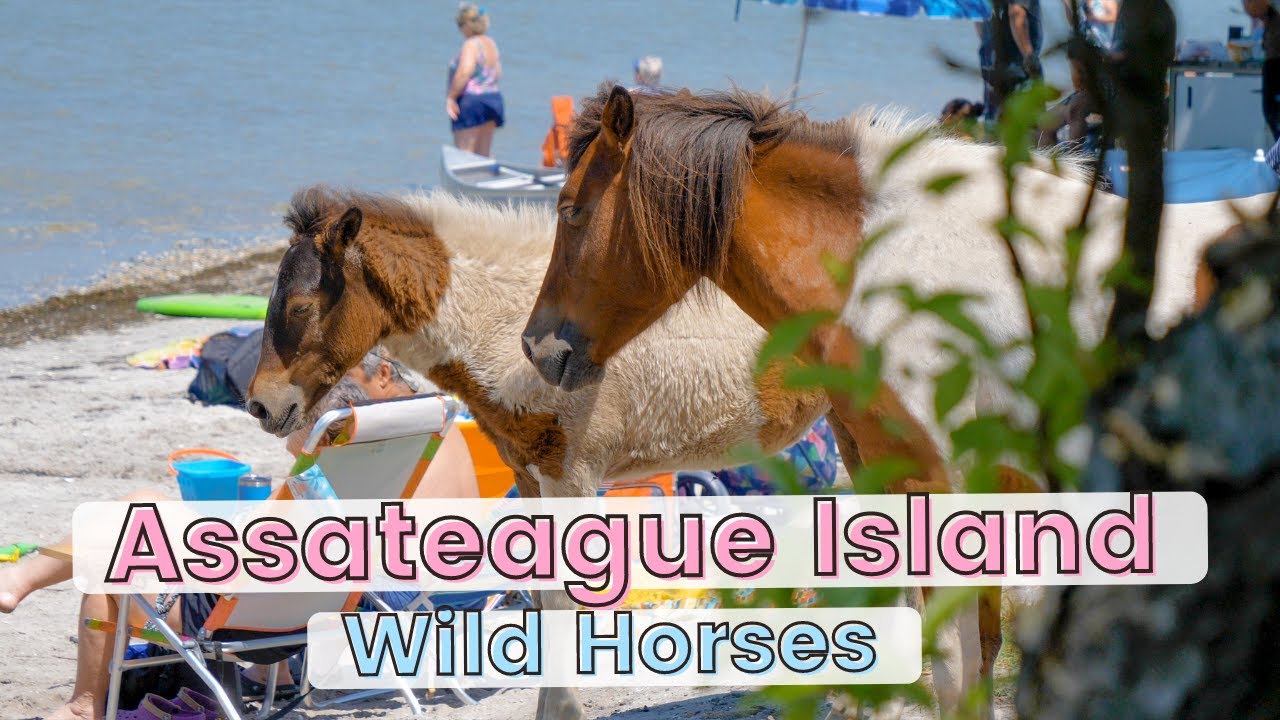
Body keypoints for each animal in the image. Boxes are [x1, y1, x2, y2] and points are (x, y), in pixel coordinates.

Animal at [244, 186, 832, 720]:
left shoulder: (570, 474)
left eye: (300, 306)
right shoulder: (528, 474)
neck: (511, 330)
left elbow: (564, 600)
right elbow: (542, 595)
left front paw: (567, 709)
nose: (259, 405)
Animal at [520, 84, 1275, 716]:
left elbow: (958, 668)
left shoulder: (949, 490)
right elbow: (971, 658)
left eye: (571, 211)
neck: (889, 266)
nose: (537, 346)